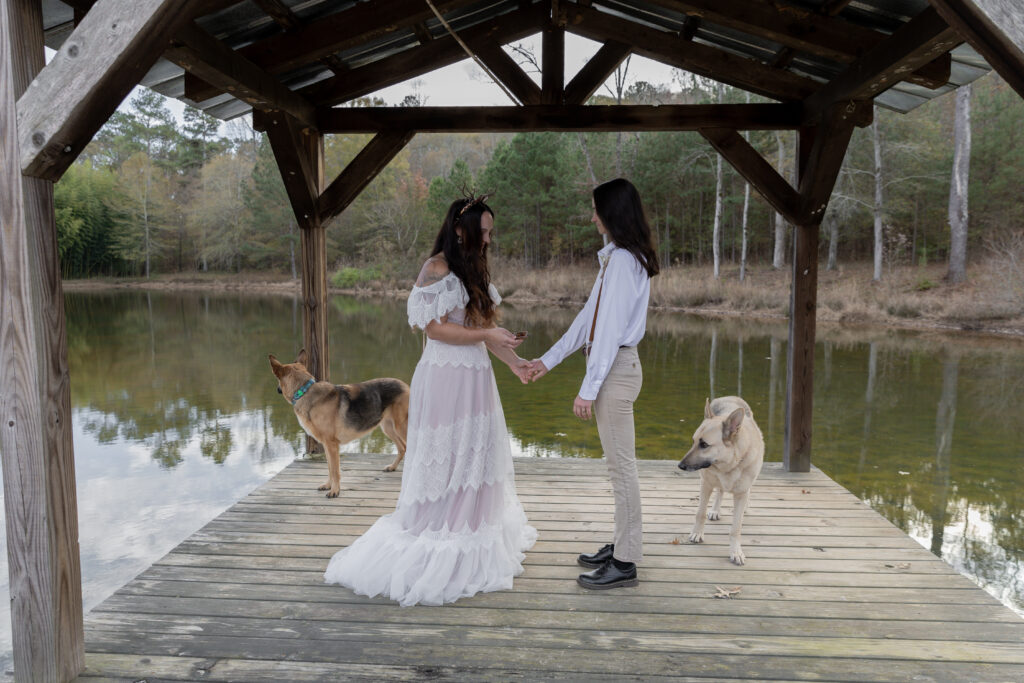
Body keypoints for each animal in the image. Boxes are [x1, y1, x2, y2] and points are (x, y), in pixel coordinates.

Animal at [270, 350, 409, 499]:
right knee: (403, 448)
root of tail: (406, 385)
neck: (304, 391)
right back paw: (393, 467)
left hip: (401, 427)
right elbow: (330, 468)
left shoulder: (331, 445)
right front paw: (328, 485)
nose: (276, 389)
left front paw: (335, 491)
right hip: (388, 428)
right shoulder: (326, 445)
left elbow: (335, 470)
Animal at [675, 395, 765, 565]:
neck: (730, 464)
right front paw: (697, 533)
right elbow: (700, 514)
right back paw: (715, 509)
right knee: (720, 492)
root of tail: (730, 397)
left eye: (704, 444)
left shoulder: (741, 494)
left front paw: (735, 551)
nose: (680, 466)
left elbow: (736, 528)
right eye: (693, 441)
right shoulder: (706, 484)